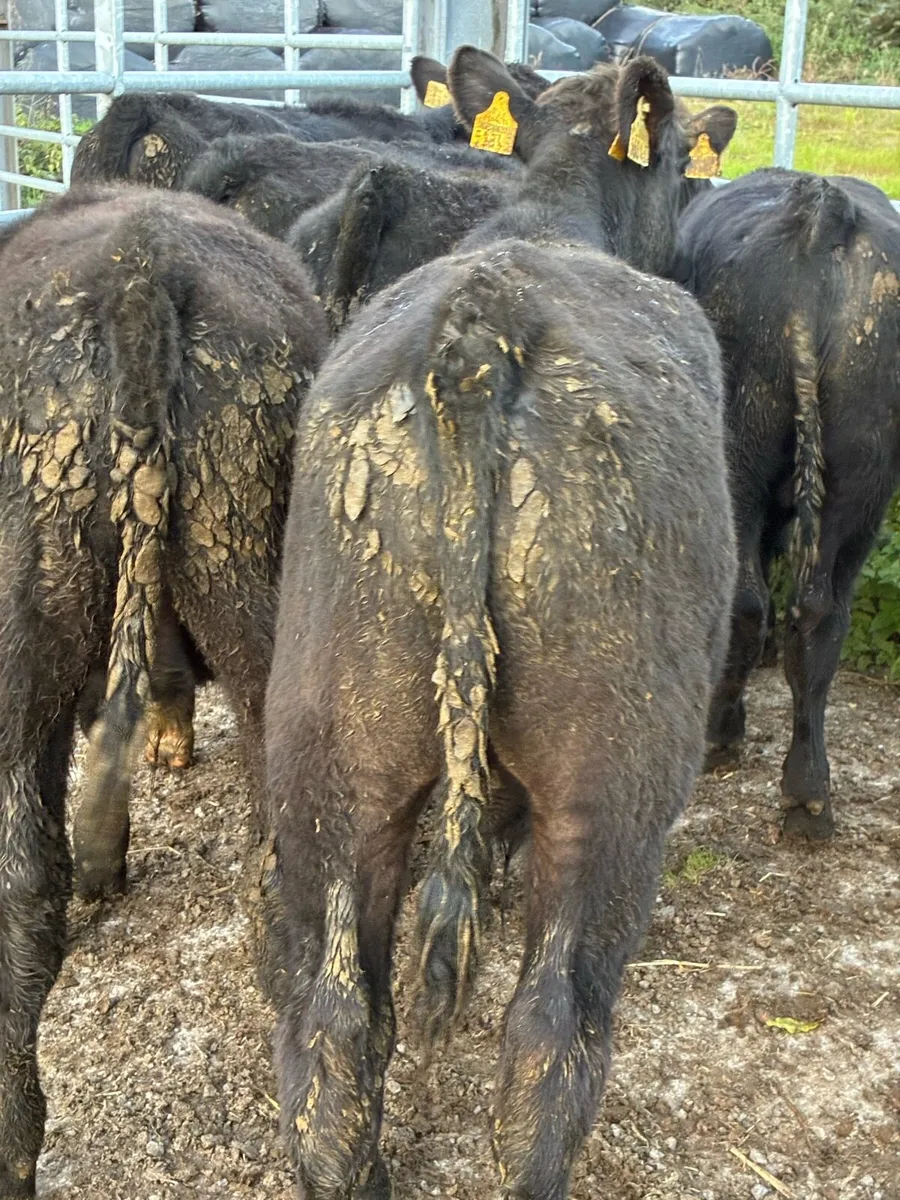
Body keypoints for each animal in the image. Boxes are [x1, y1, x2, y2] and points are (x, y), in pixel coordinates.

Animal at [264, 45, 737, 1199]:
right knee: (552, 1038)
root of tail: (480, 336)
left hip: (328, 743)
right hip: (614, 778)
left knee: (333, 1030)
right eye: (677, 165)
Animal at [674, 167, 900, 839]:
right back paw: (809, 794)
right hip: (861, 483)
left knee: (748, 602)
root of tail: (824, 211)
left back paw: (723, 734)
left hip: (739, 457)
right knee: (820, 617)